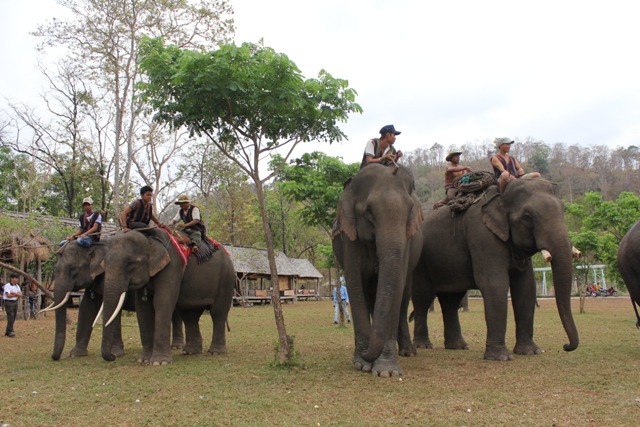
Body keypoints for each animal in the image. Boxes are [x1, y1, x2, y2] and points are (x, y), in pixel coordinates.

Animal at [48, 241, 184, 362]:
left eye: (72, 268)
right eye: (55, 269)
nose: (56, 358)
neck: (94, 244)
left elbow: (113, 310)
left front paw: (115, 353)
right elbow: (86, 307)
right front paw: (76, 354)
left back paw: (176, 347)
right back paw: (176, 346)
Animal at [101, 229, 236, 366]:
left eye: (131, 263)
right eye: (104, 263)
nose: (113, 356)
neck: (150, 239)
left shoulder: (172, 266)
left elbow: (162, 301)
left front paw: (159, 362)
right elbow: (142, 308)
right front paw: (144, 360)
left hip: (226, 278)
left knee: (218, 312)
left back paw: (216, 352)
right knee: (189, 315)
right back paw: (190, 352)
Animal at [332, 165, 422, 378]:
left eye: (409, 210)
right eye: (369, 211)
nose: (366, 354)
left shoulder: (406, 241)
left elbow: (396, 288)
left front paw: (386, 371)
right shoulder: (349, 236)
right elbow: (355, 284)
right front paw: (362, 363)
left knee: (404, 298)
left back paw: (408, 352)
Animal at [412, 178, 584, 362]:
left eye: (563, 210)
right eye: (527, 217)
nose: (566, 346)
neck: (502, 195)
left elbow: (526, 287)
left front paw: (531, 351)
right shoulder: (482, 234)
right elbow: (495, 284)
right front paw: (501, 358)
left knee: (451, 300)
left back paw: (458, 347)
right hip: (420, 263)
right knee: (423, 298)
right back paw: (424, 345)